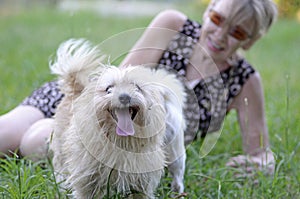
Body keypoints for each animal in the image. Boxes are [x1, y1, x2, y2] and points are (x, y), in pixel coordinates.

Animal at [51, 39, 188, 199]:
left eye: (137, 87)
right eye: (109, 89)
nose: (124, 97)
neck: (121, 141)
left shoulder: (141, 182)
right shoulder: (86, 179)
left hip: (175, 154)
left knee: (177, 176)